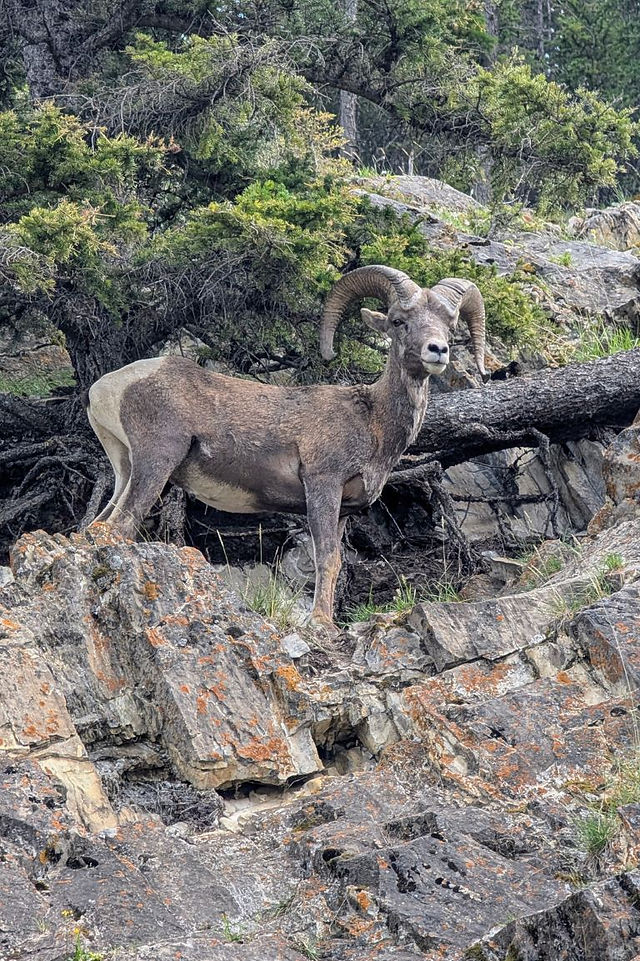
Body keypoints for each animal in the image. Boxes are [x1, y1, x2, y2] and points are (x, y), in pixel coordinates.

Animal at [87, 265, 486, 631]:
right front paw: (320, 624)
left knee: (98, 525)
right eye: (399, 321)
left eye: (449, 326)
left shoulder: (344, 511)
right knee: (121, 525)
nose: (438, 350)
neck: (372, 420)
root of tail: (106, 387)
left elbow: (336, 561)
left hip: (126, 469)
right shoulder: (323, 487)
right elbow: (327, 558)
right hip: (156, 463)